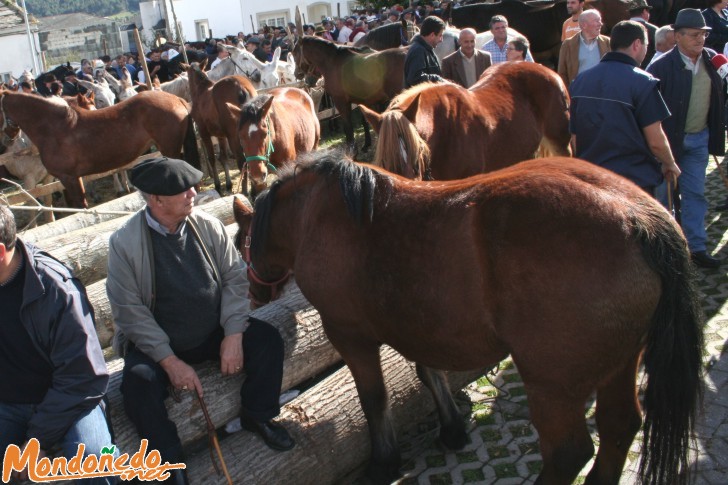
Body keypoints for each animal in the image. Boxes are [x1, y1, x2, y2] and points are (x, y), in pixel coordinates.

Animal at [0, 89, 199, 206]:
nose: (8, 142)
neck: (54, 127)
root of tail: (177, 99)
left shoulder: (69, 178)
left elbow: (81, 207)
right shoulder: (71, 178)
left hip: (170, 149)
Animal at [185, 61, 258, 194]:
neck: (201, 90)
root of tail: (241, 87)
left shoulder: (204, 133)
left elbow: (212, 158)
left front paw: (218, 185)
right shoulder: (221, 136)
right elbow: (223, 158)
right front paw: (228, 184)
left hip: (233, 136)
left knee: (243, 161)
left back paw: (245, 191)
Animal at [236, 153, 704, 484]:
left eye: (242, 241)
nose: (254, 297)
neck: (317, 213)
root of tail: (637, 215)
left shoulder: (350, 336)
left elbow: (374, 399)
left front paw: (384, 463)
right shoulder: (420, 326)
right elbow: (429, 373)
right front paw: (452, 429)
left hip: (552, 384)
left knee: (569, 452)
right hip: (619, 365)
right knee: (619, 427)